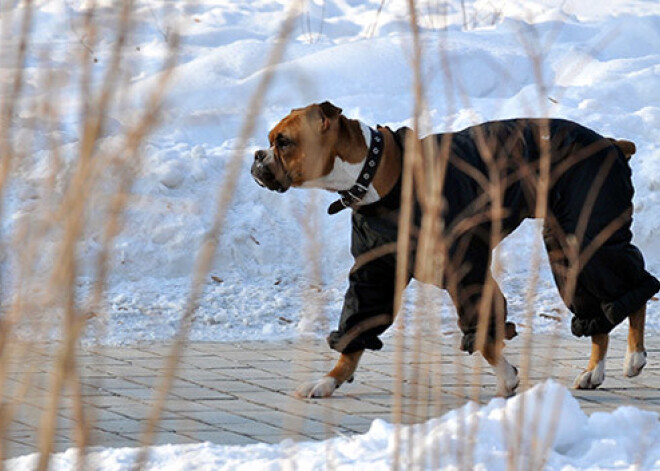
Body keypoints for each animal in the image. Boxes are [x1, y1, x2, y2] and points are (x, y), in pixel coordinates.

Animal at [250, 102, 656, 398]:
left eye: (283, 142)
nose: (256, 155)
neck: (377, 173)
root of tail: (612, 143)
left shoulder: (466, 271)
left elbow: (483, 330)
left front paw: (507, 377)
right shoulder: (374, 274)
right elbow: (356, 331)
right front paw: (329, 380)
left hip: (592, 237)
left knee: (635, 290)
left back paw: (634, 356)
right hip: (568, 248)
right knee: (599, 309)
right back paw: (593, 372)